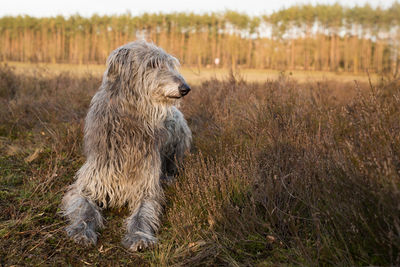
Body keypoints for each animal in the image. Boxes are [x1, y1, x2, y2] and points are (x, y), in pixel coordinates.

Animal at [62, 39, 192, 251]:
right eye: (152, 64)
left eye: (170, 63)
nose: (185, 88)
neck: (129, 121)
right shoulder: (90, 181)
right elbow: (84, 207)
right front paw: (82, 231)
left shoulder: (146, 187)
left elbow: (143, 213)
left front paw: (138, 235)